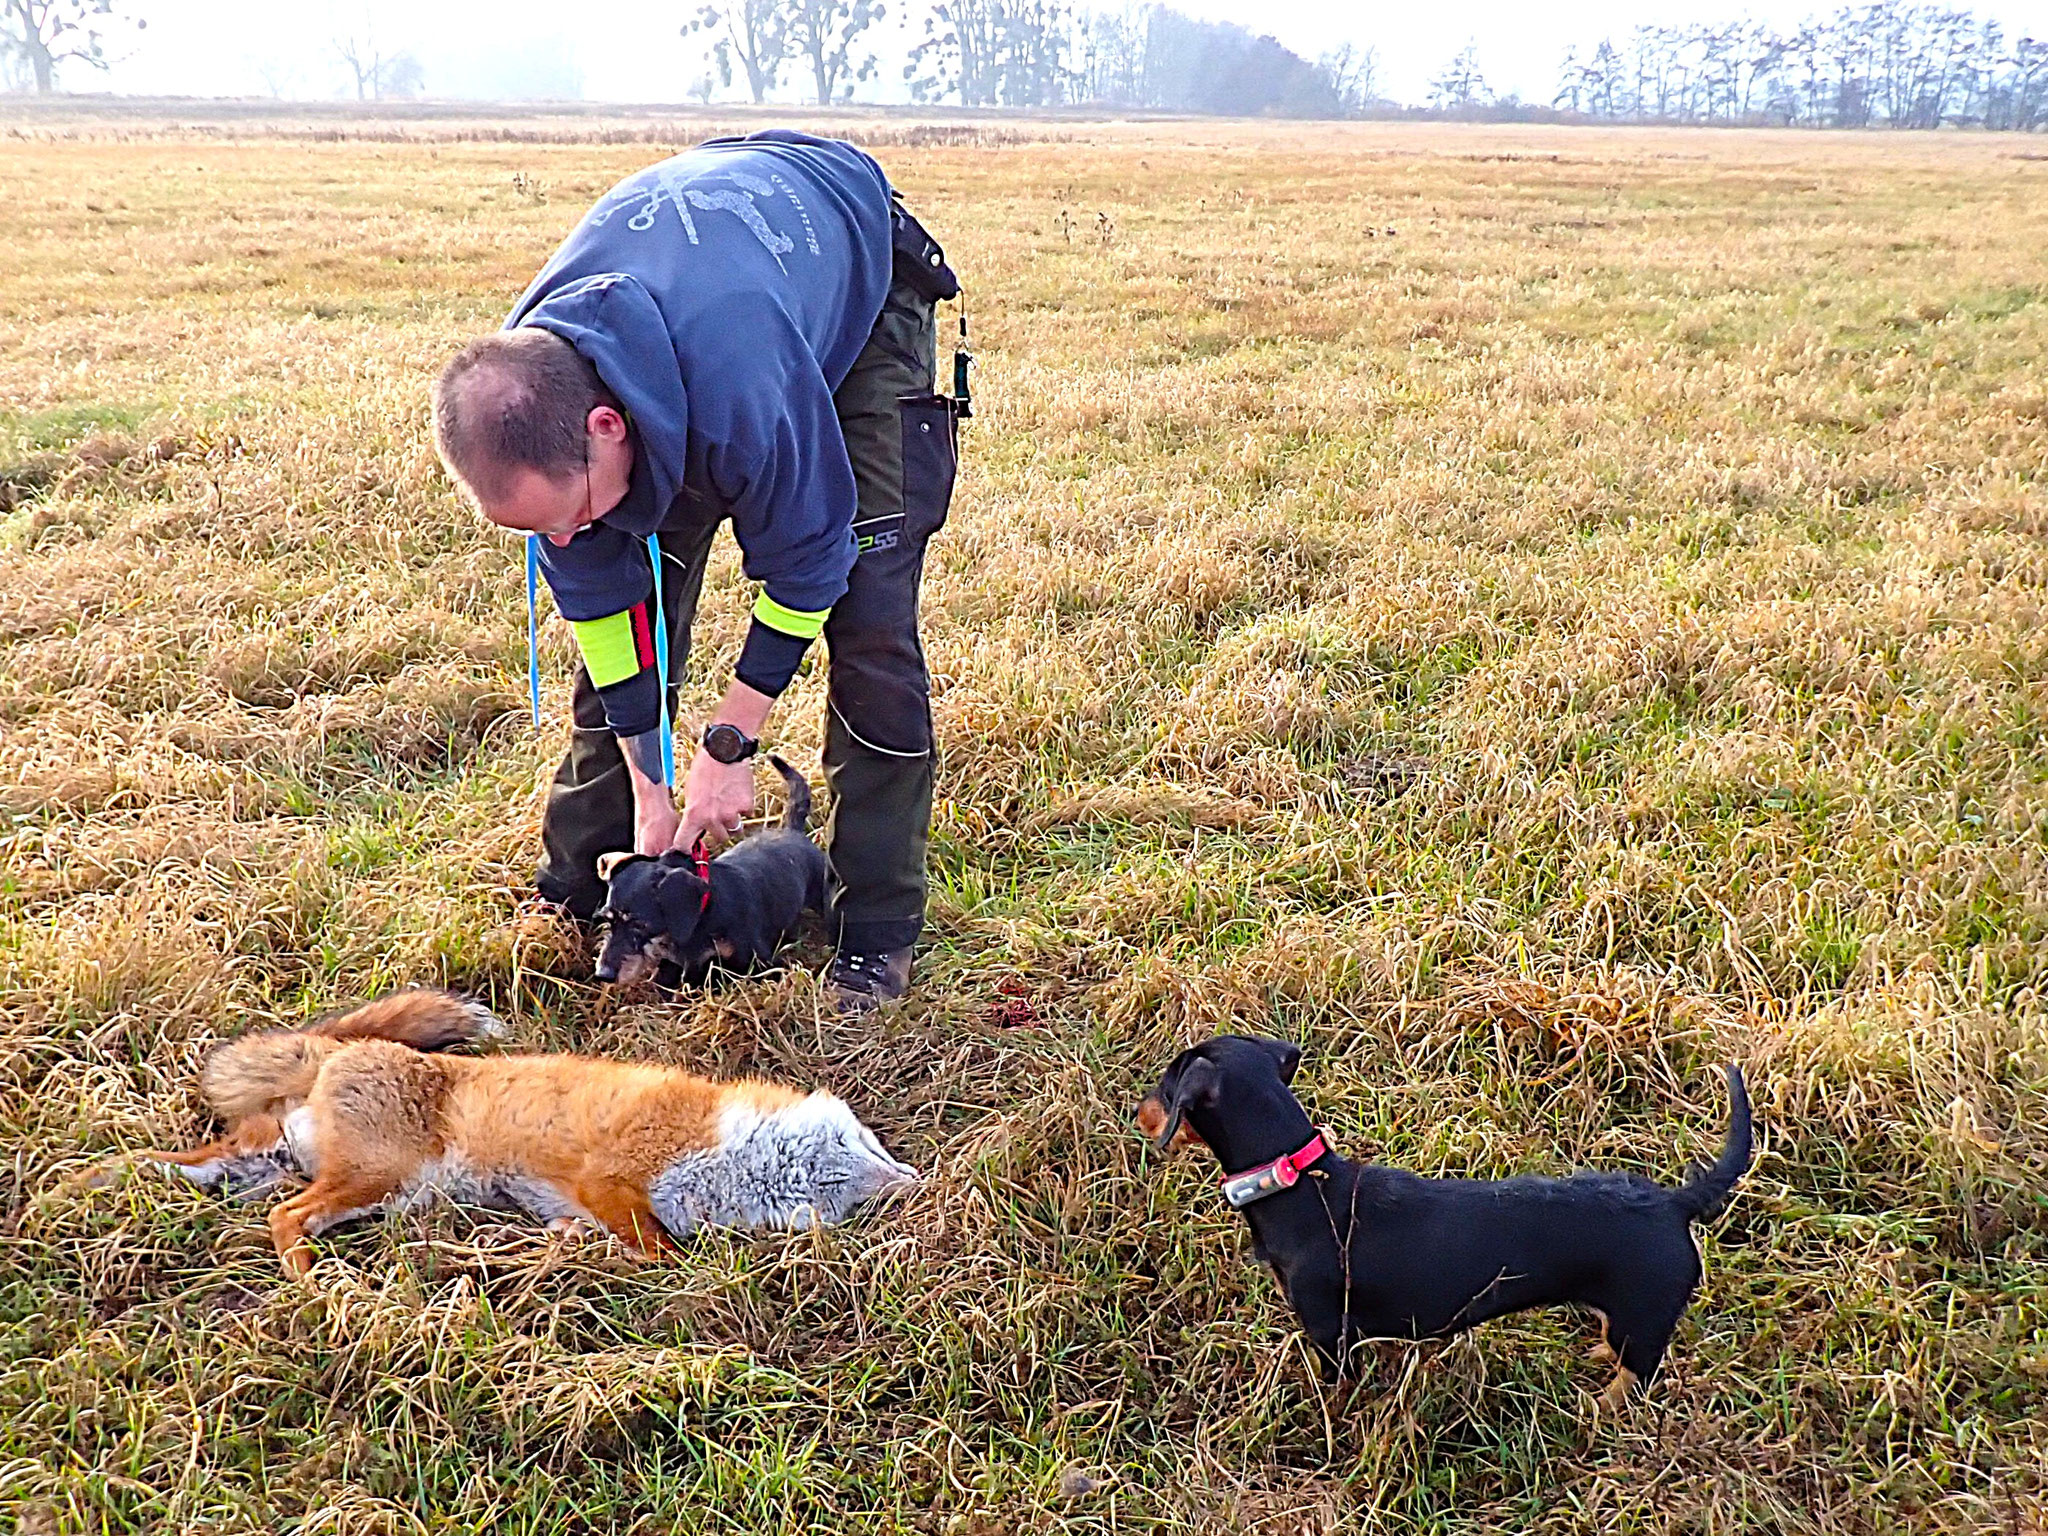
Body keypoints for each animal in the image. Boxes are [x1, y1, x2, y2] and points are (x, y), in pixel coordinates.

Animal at [137, 990, 919, 1276]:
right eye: (865, 1145)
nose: (917, 1180)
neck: (734, 1161)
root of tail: (341, 1047)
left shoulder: (594, 1204)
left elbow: (600, 1236)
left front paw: (559, 1249)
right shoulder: (610, 1179)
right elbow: (662, 1253)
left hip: (322, 1173)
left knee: (215, 1169)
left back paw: (131, 1175)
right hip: (375, 1180)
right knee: (285, 1217)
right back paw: (316, 1285)